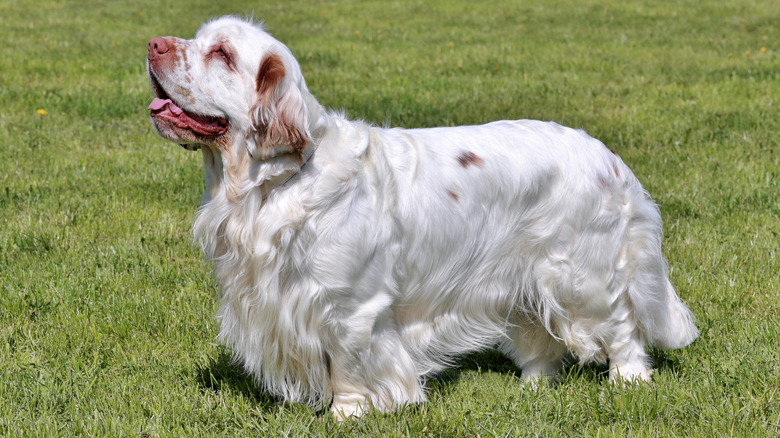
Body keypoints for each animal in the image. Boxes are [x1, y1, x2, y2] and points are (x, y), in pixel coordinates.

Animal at [148, 17, 700, 420]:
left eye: (221, 54)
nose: (153, 44)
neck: (275, 184)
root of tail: (609, 157)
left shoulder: (352, 307)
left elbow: (347, 365)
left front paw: (347, 415)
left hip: (580, 274)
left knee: (623, 322)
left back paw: (629, 378)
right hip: (523, 274)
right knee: (540, 333)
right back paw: (532, 385)